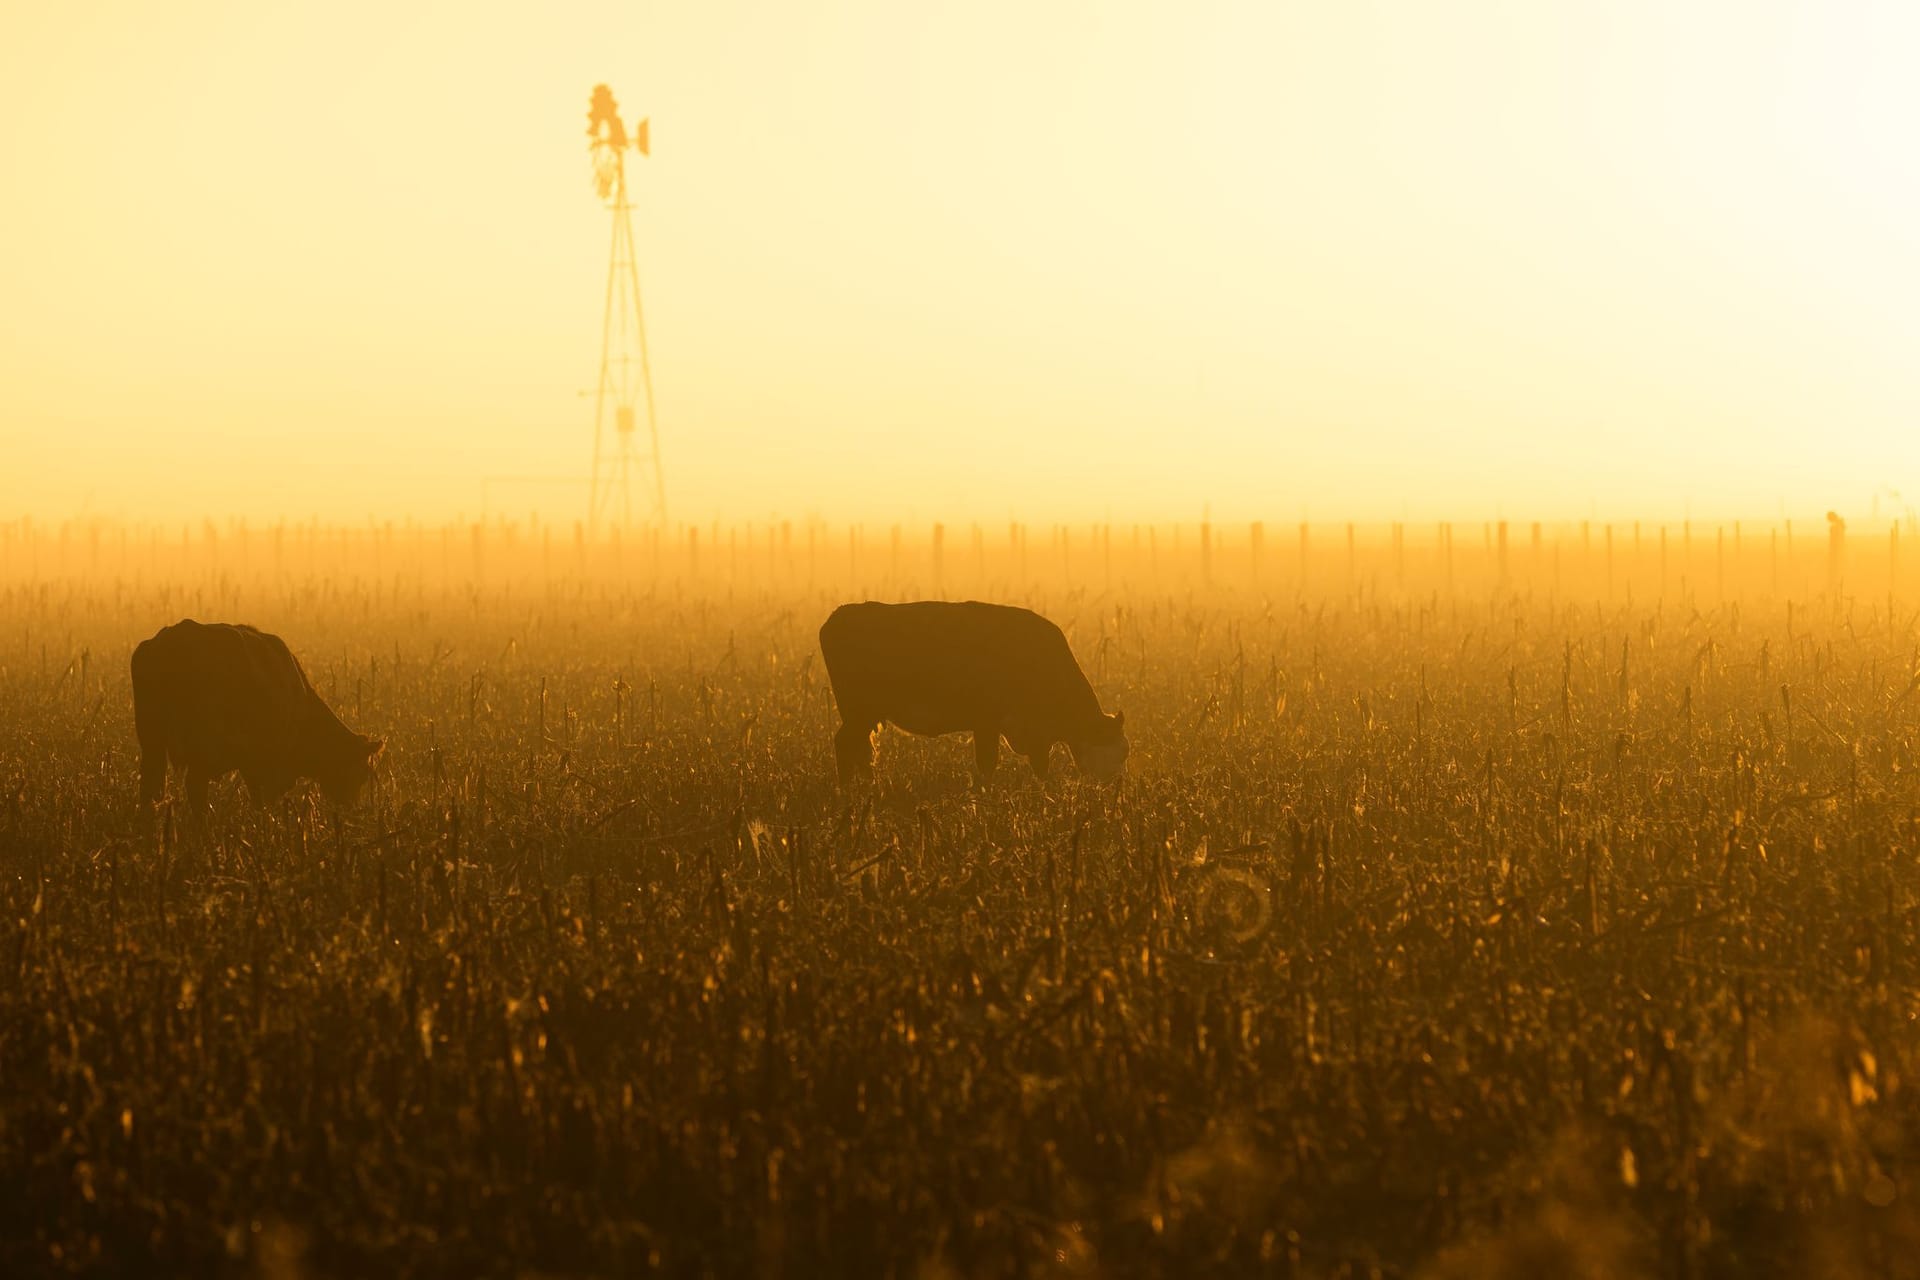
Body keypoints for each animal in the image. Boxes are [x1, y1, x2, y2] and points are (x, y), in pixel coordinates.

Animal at [131, 621, 382, 809]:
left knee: (150, 787)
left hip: (152, 741)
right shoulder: (268, 763)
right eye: (363, 772)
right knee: (194, 787)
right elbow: (263, 798)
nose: (350, 806)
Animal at [821, 598, 1121, 782]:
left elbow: (1040, 764)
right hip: (859, 712)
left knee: (861, 751)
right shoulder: (988, 721)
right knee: (846, 744)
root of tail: (841, 613)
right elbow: (988, 762)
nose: (1114, 786)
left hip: (865, 716)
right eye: (1119, 750)